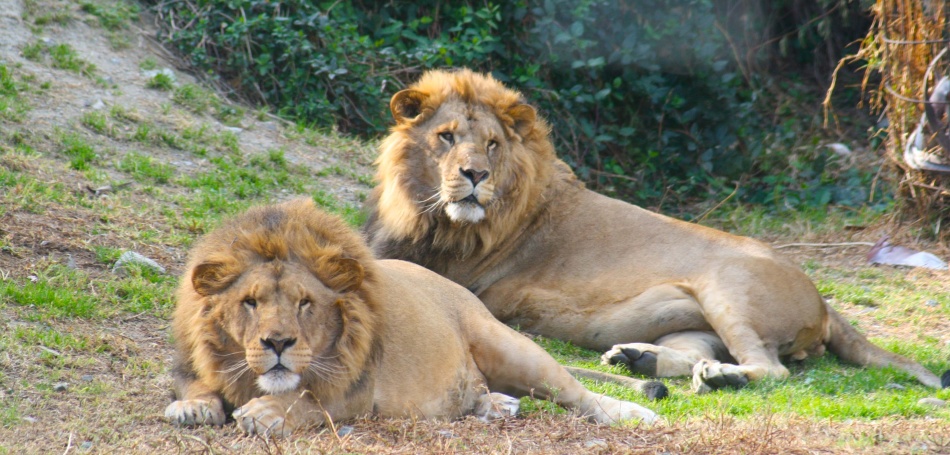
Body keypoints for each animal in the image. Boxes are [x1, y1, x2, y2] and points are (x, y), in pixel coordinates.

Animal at [165, 198, 656, 436]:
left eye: (305, 303)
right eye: (250, 302)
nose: (278, 343)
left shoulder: (358, 390)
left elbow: (310, 400)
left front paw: (266, 412)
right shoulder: (190, 361)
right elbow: (195, 385)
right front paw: (193, 406)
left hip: (508, 346)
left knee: (578, 393)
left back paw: (634, 413)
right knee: (481, 389)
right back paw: (495, 405)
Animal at [360, 68, 948, 396]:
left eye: (492, 145)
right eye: (445, 136)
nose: (474, 175)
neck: (426, 212)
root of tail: (825, 302)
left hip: (728, 289)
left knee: (769, 369)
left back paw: (719, 379)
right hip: (694, 321)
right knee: (697, 354)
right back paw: (638, 359)